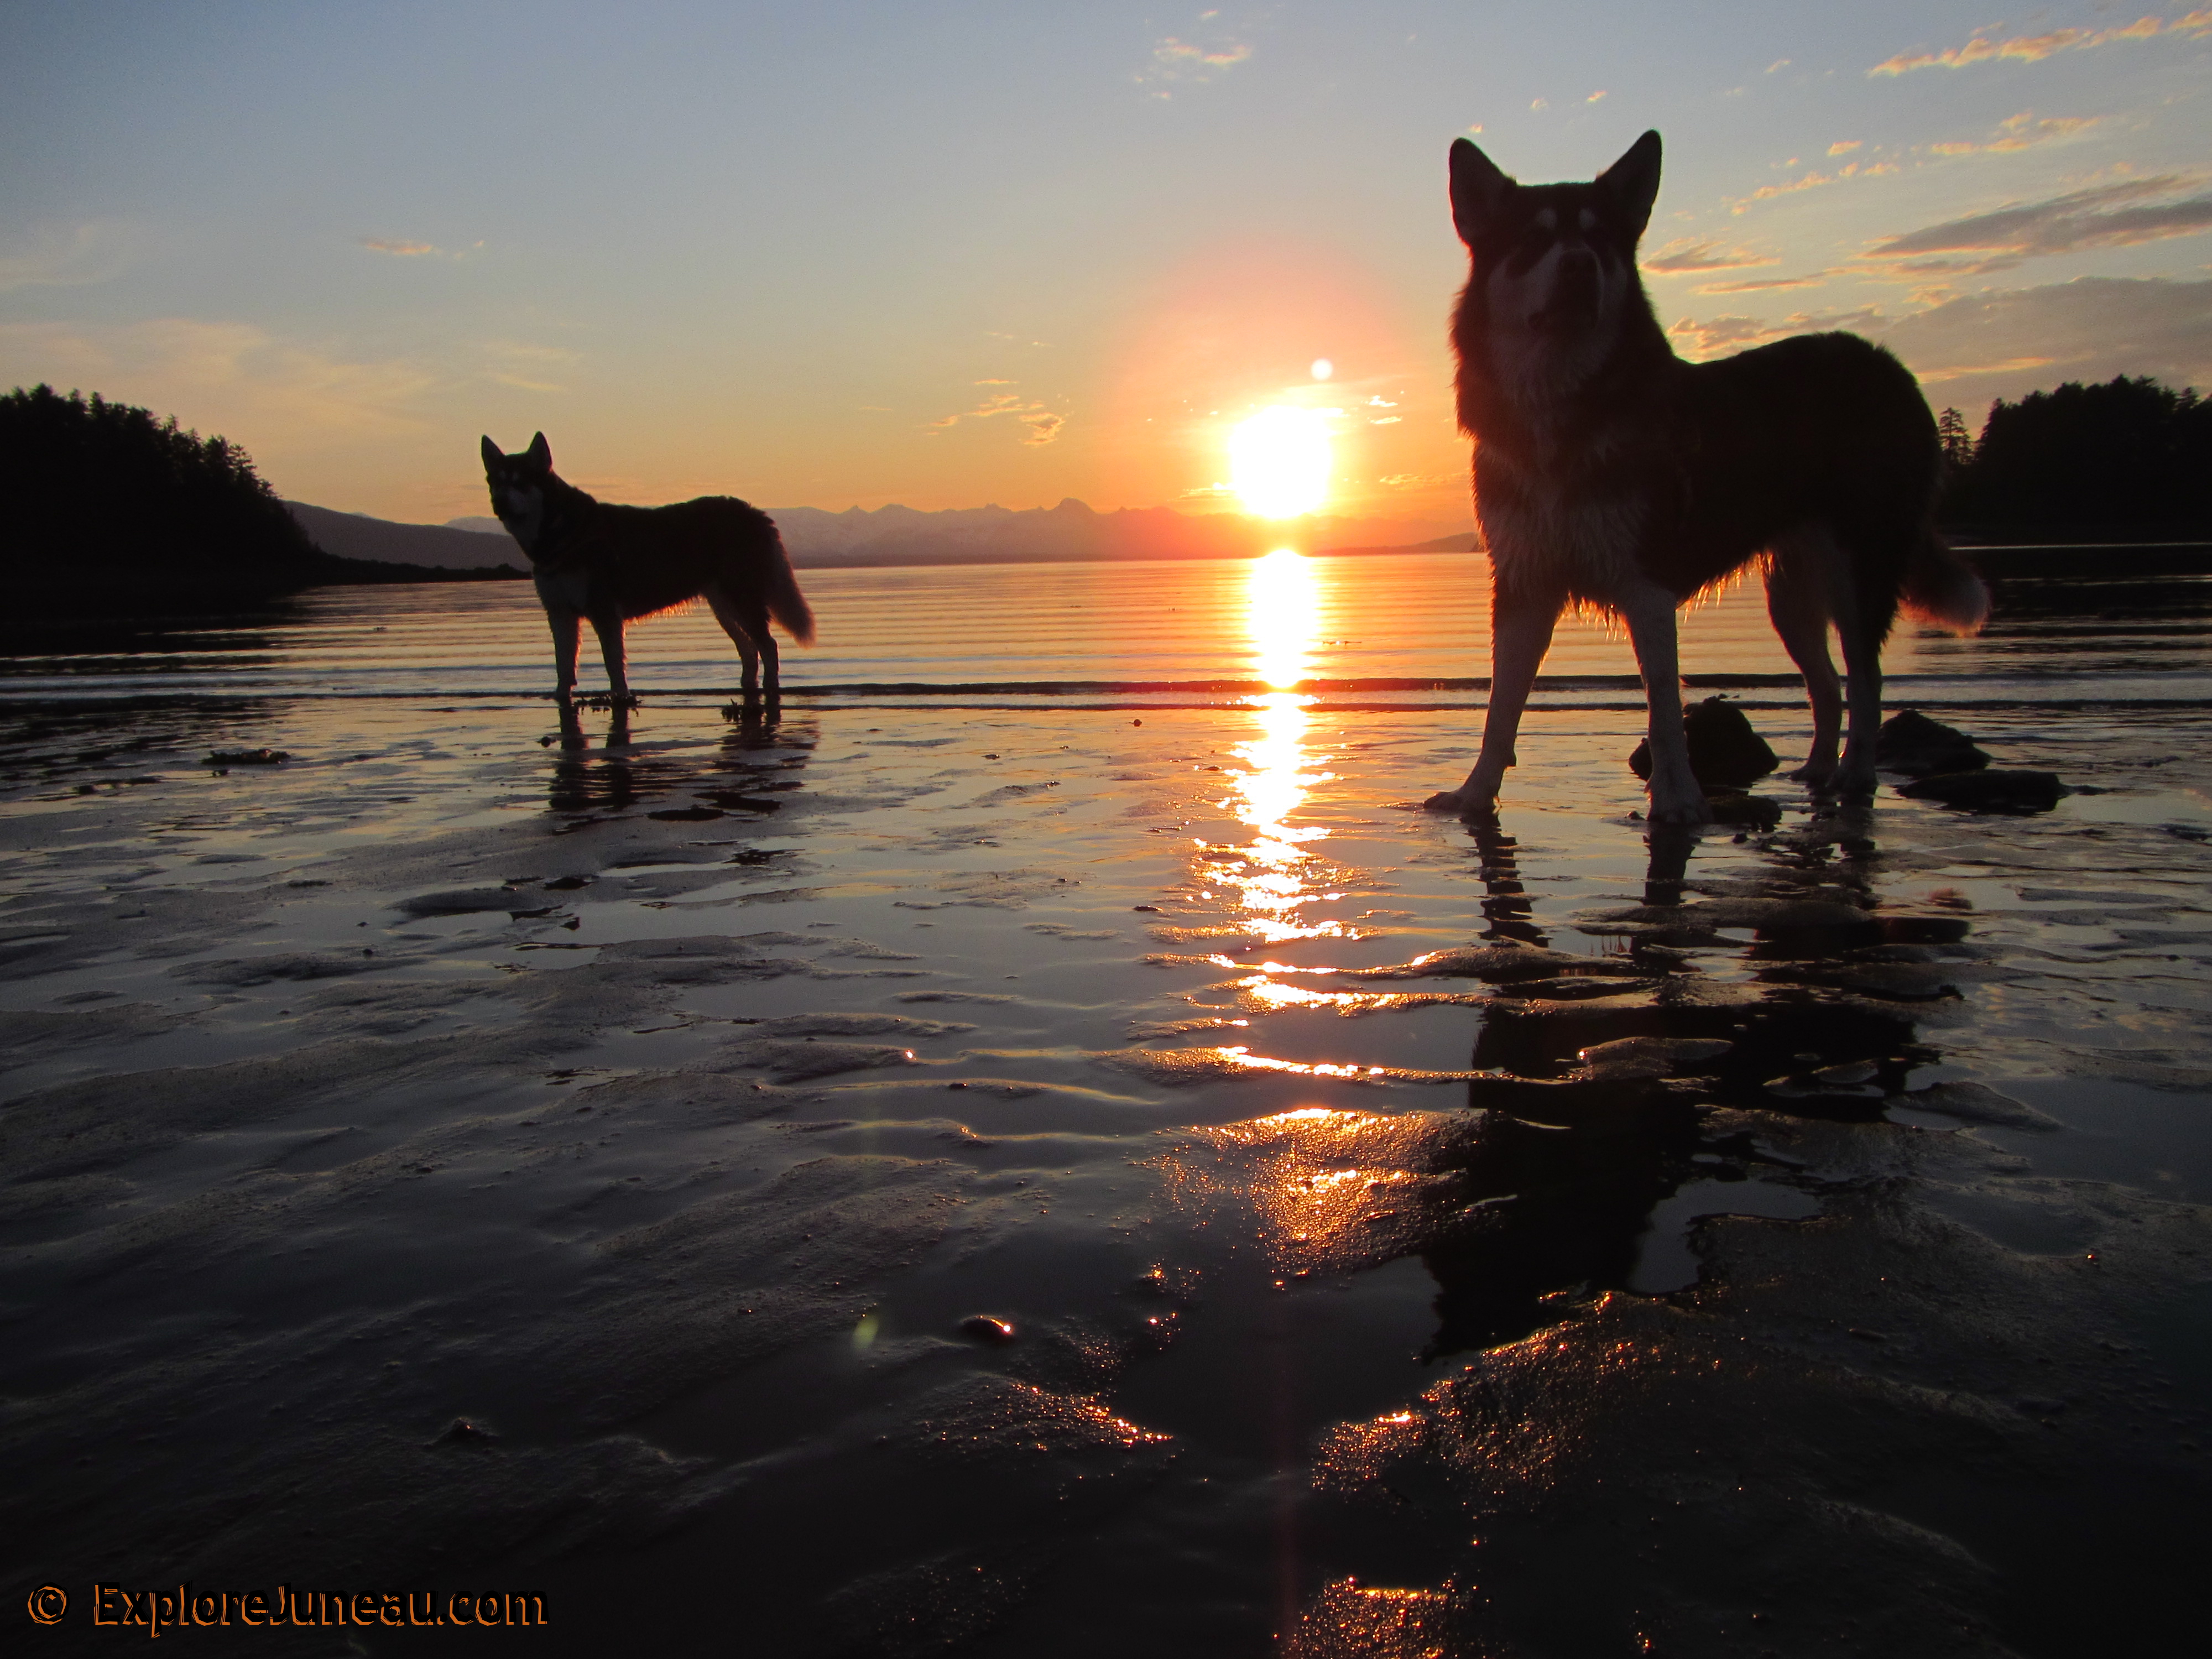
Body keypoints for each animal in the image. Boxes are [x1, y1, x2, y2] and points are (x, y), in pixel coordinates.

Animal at [476, 436, 814, 703]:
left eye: (521, 482)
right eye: (495, 483)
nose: (500, 502)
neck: (560, 534)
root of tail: (755, 512)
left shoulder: (604, 612)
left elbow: (614, 666)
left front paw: (620, 698)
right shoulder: (560, 614)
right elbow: (564, 666)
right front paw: (561, 697)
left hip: (741, 600)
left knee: (768, 646)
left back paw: (770, 688)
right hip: (726, 607)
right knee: (750, 649)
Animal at [1425, 132, 2000, 827]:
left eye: (1601, 240)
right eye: (1533, 241)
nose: (1579, 266)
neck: (1560, 410)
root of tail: (1887, 365)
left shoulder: (1646, 581)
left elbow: (1664, 709)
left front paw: (1677, 802)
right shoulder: (1523, 582)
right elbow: (1499, 709)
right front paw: (1474, 794)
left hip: (1858, 564)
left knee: (1866, 682)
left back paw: (1854, 779)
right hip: (1792, 590)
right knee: (1827, 685)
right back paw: (1815, 772)